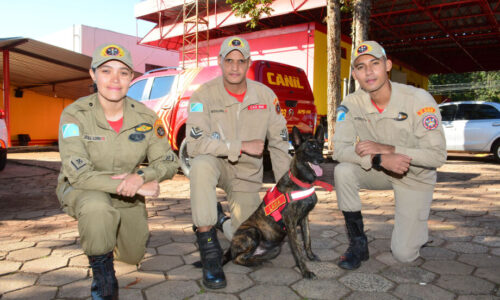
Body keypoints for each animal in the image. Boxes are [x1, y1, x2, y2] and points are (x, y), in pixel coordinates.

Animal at [226, 124, 328, 278]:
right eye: (309, 149)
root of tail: (231, 245)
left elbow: (307, 240)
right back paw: (254, 262)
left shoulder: (304, 218)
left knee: (248, 256)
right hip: (253, 232)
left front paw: (310, 256)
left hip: (275, 249)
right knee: (236, 259)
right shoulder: (291, 223)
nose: (321, 159)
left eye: (320, 148)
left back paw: (259, 260)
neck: (301, 183)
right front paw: (305, 270)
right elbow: (298, 250)